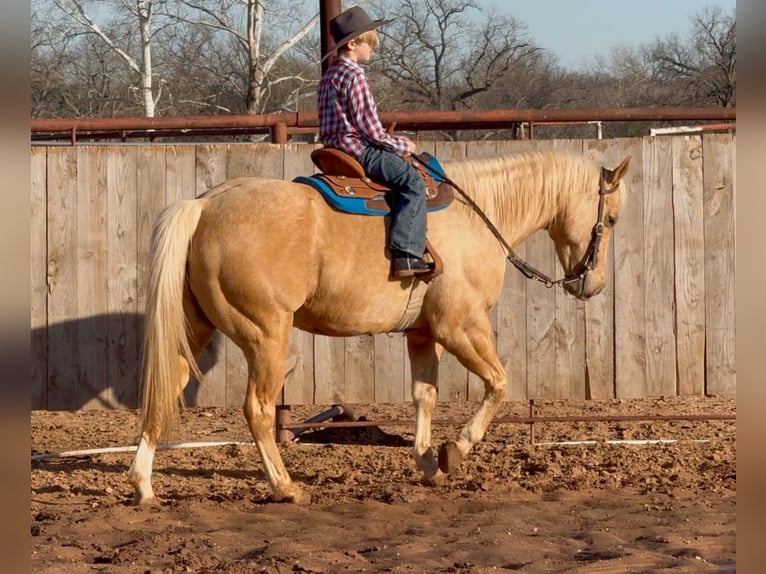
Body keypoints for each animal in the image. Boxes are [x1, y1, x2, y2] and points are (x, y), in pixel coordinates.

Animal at [128, 149, 631, 505]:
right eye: (609, 219)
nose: (592, 285)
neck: (476, 215)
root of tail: (203, 205)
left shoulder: (423, 334)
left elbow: (425, 397)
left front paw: (429, 464)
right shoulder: (460, 326)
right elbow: (498, 383)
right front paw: (455, 450)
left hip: (197, 328)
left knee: (164, 391)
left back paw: (144, 487)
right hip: (266, 335)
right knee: (258, 410)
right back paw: (286, 487)